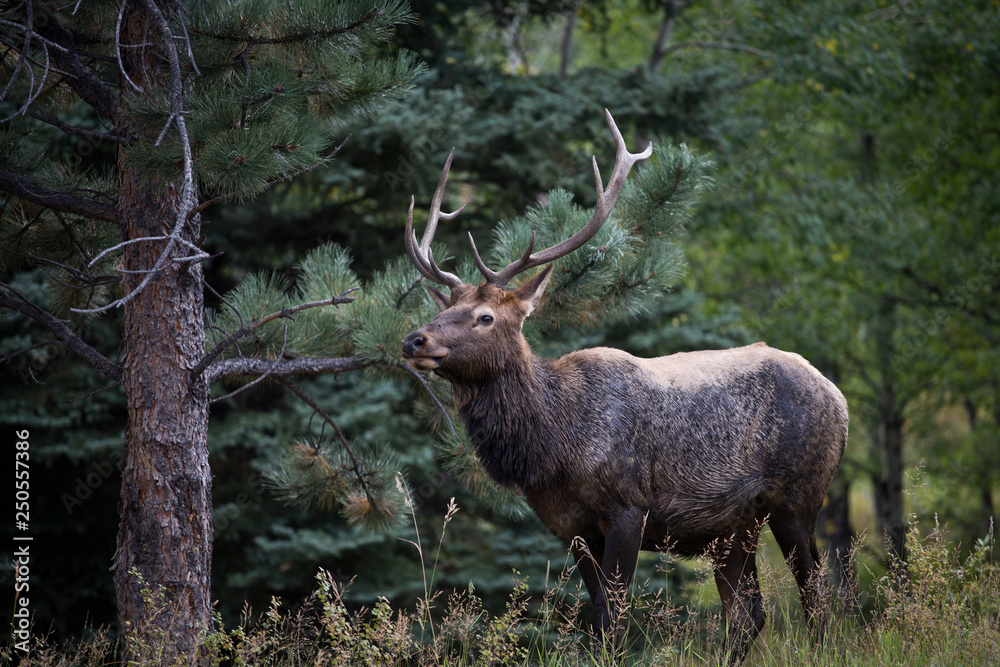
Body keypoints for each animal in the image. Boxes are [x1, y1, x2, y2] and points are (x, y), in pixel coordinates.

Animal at [402, 111, 848, 664]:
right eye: (447, 309)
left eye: (485, 316)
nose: (414, 339)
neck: (554, 444)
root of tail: (839, 398)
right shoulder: (570, 526)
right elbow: (596, 624)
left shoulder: (628, 506)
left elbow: (613, 622)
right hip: (734, 527)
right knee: (748, 614)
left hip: (800, 495)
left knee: (818, 598)